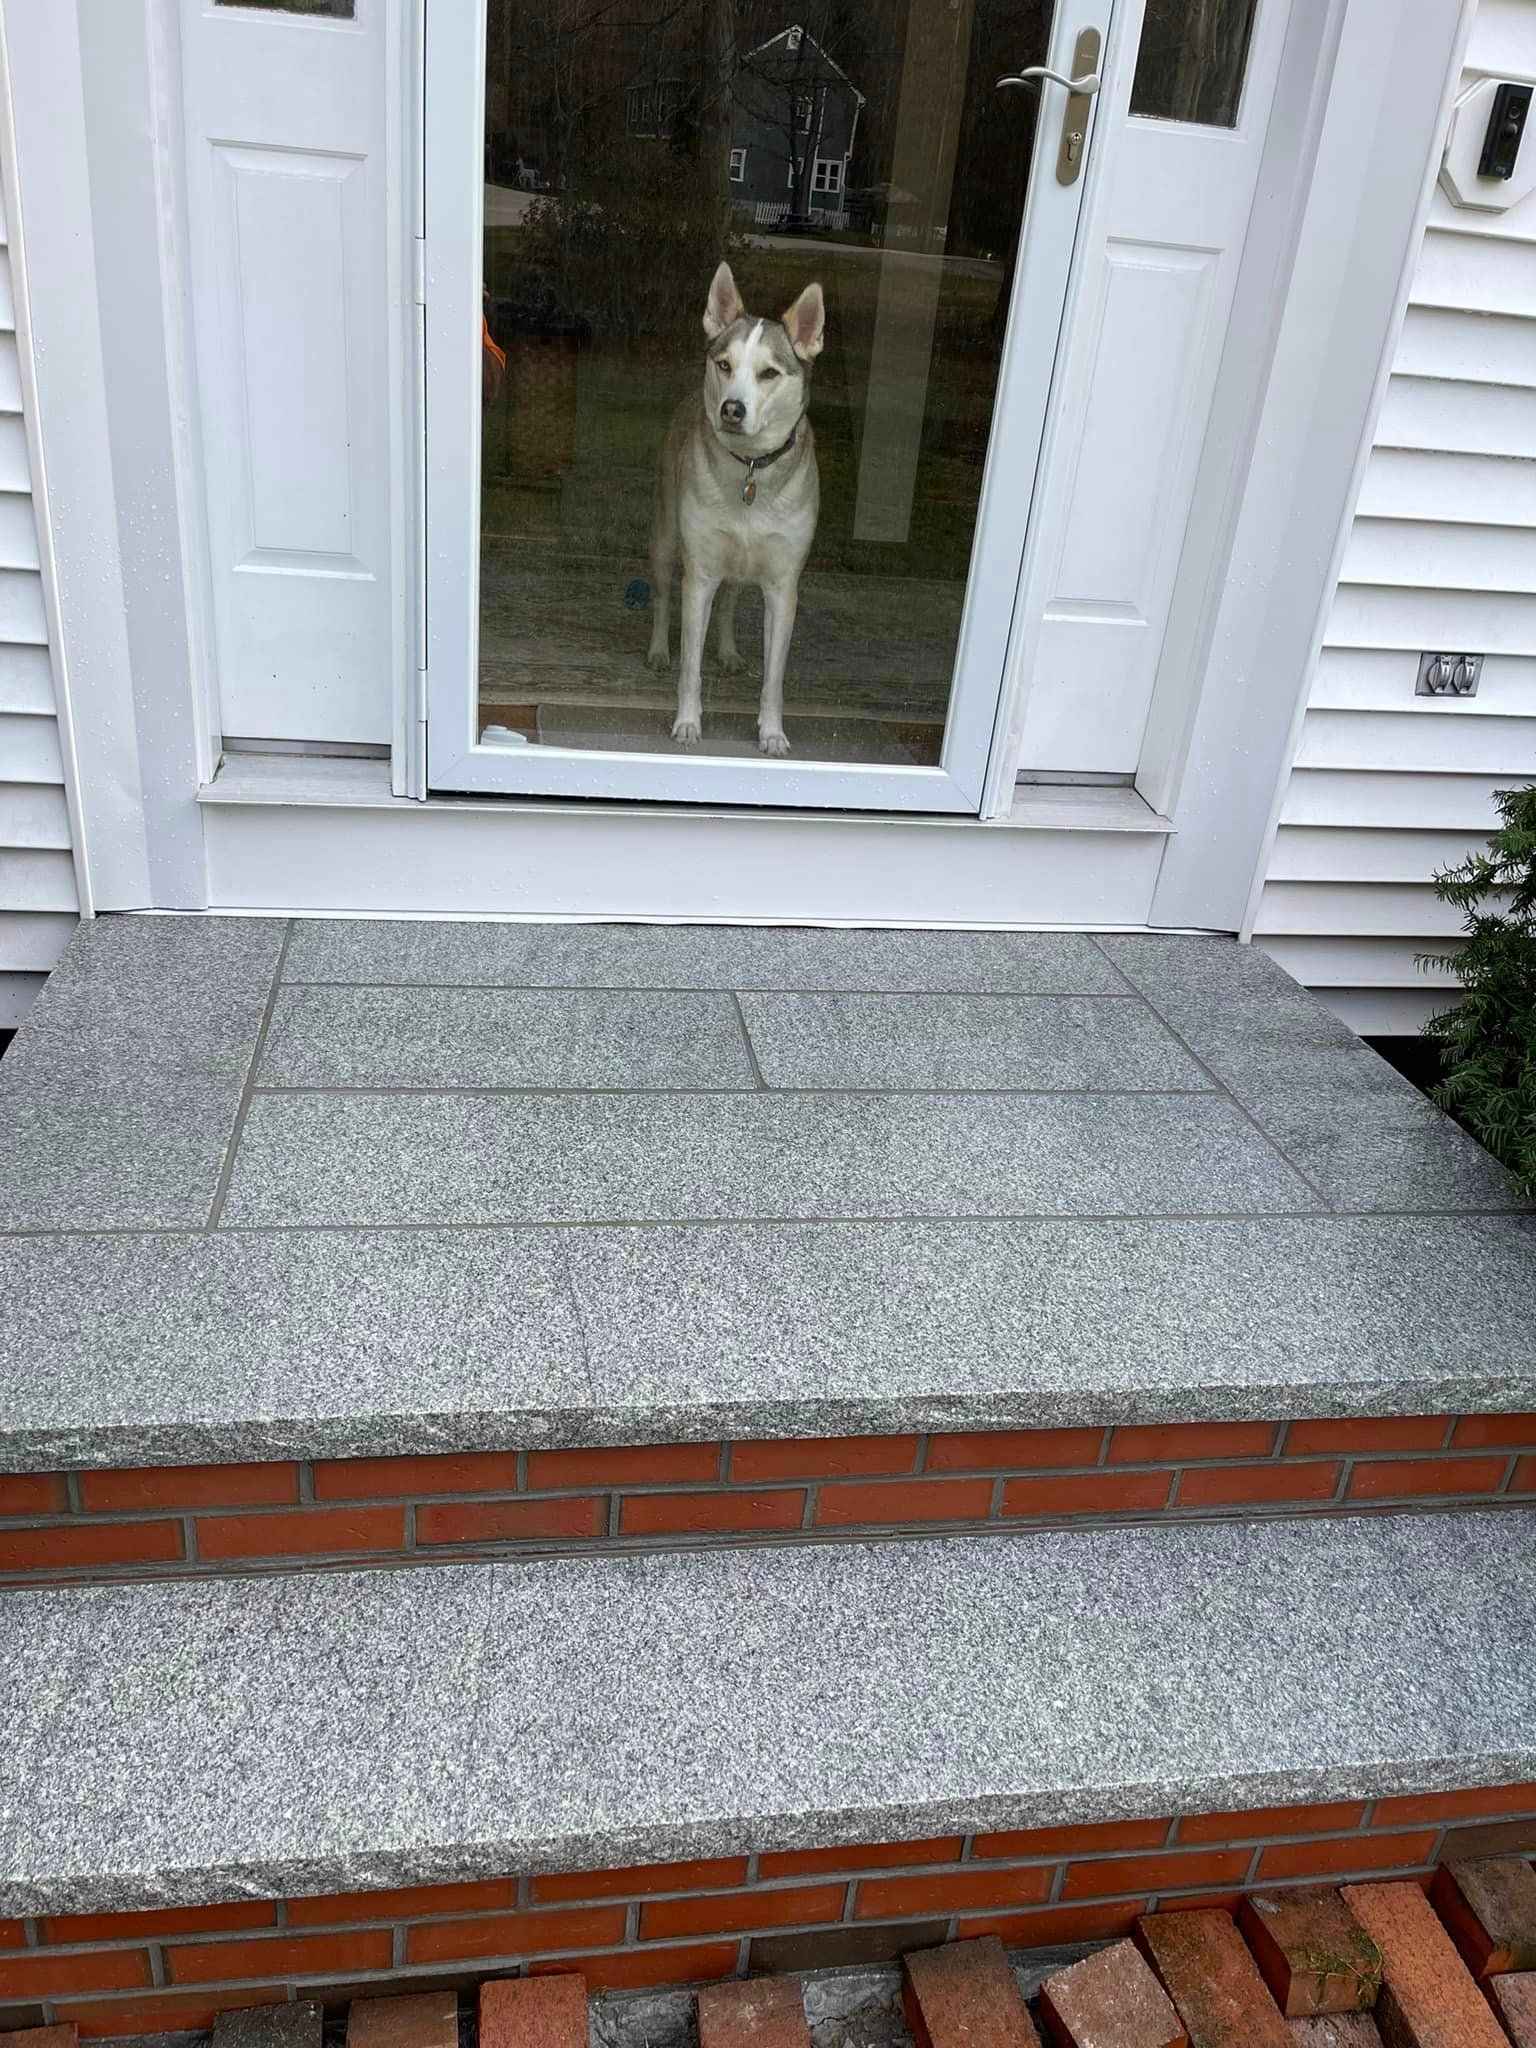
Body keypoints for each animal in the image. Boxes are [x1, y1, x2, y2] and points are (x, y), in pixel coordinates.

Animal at [643, 260, 823, 757]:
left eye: (769, 373)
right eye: (724, 365)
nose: (731, 409)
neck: (751, 469)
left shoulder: (783, 587)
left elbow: (774, 678)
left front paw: (772, 732)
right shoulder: (699, 574)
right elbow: (690, 666)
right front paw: (687, 721)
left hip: (742, 568)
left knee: (730, 601)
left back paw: (727, 651)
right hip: (666, 538)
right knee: (663, 596)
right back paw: (658, 650)